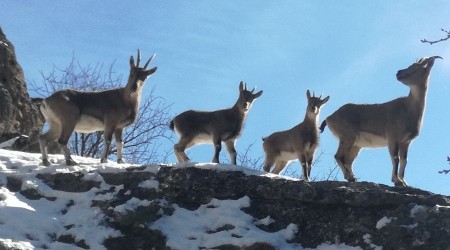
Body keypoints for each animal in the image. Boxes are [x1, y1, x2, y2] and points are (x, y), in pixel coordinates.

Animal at [320, 56, 442, 186]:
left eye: (415, 68)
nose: (398, 73)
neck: (408, 108)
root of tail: (329, 118)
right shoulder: (393, 138)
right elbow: (396, 159)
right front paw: (397, 181)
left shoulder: (406, 142)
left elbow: (404, 160)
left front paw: (404, 182)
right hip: (347, 138)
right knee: (338, 156)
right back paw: (351, 178)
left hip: (356, 144)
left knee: (348, 160)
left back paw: (353, 177)